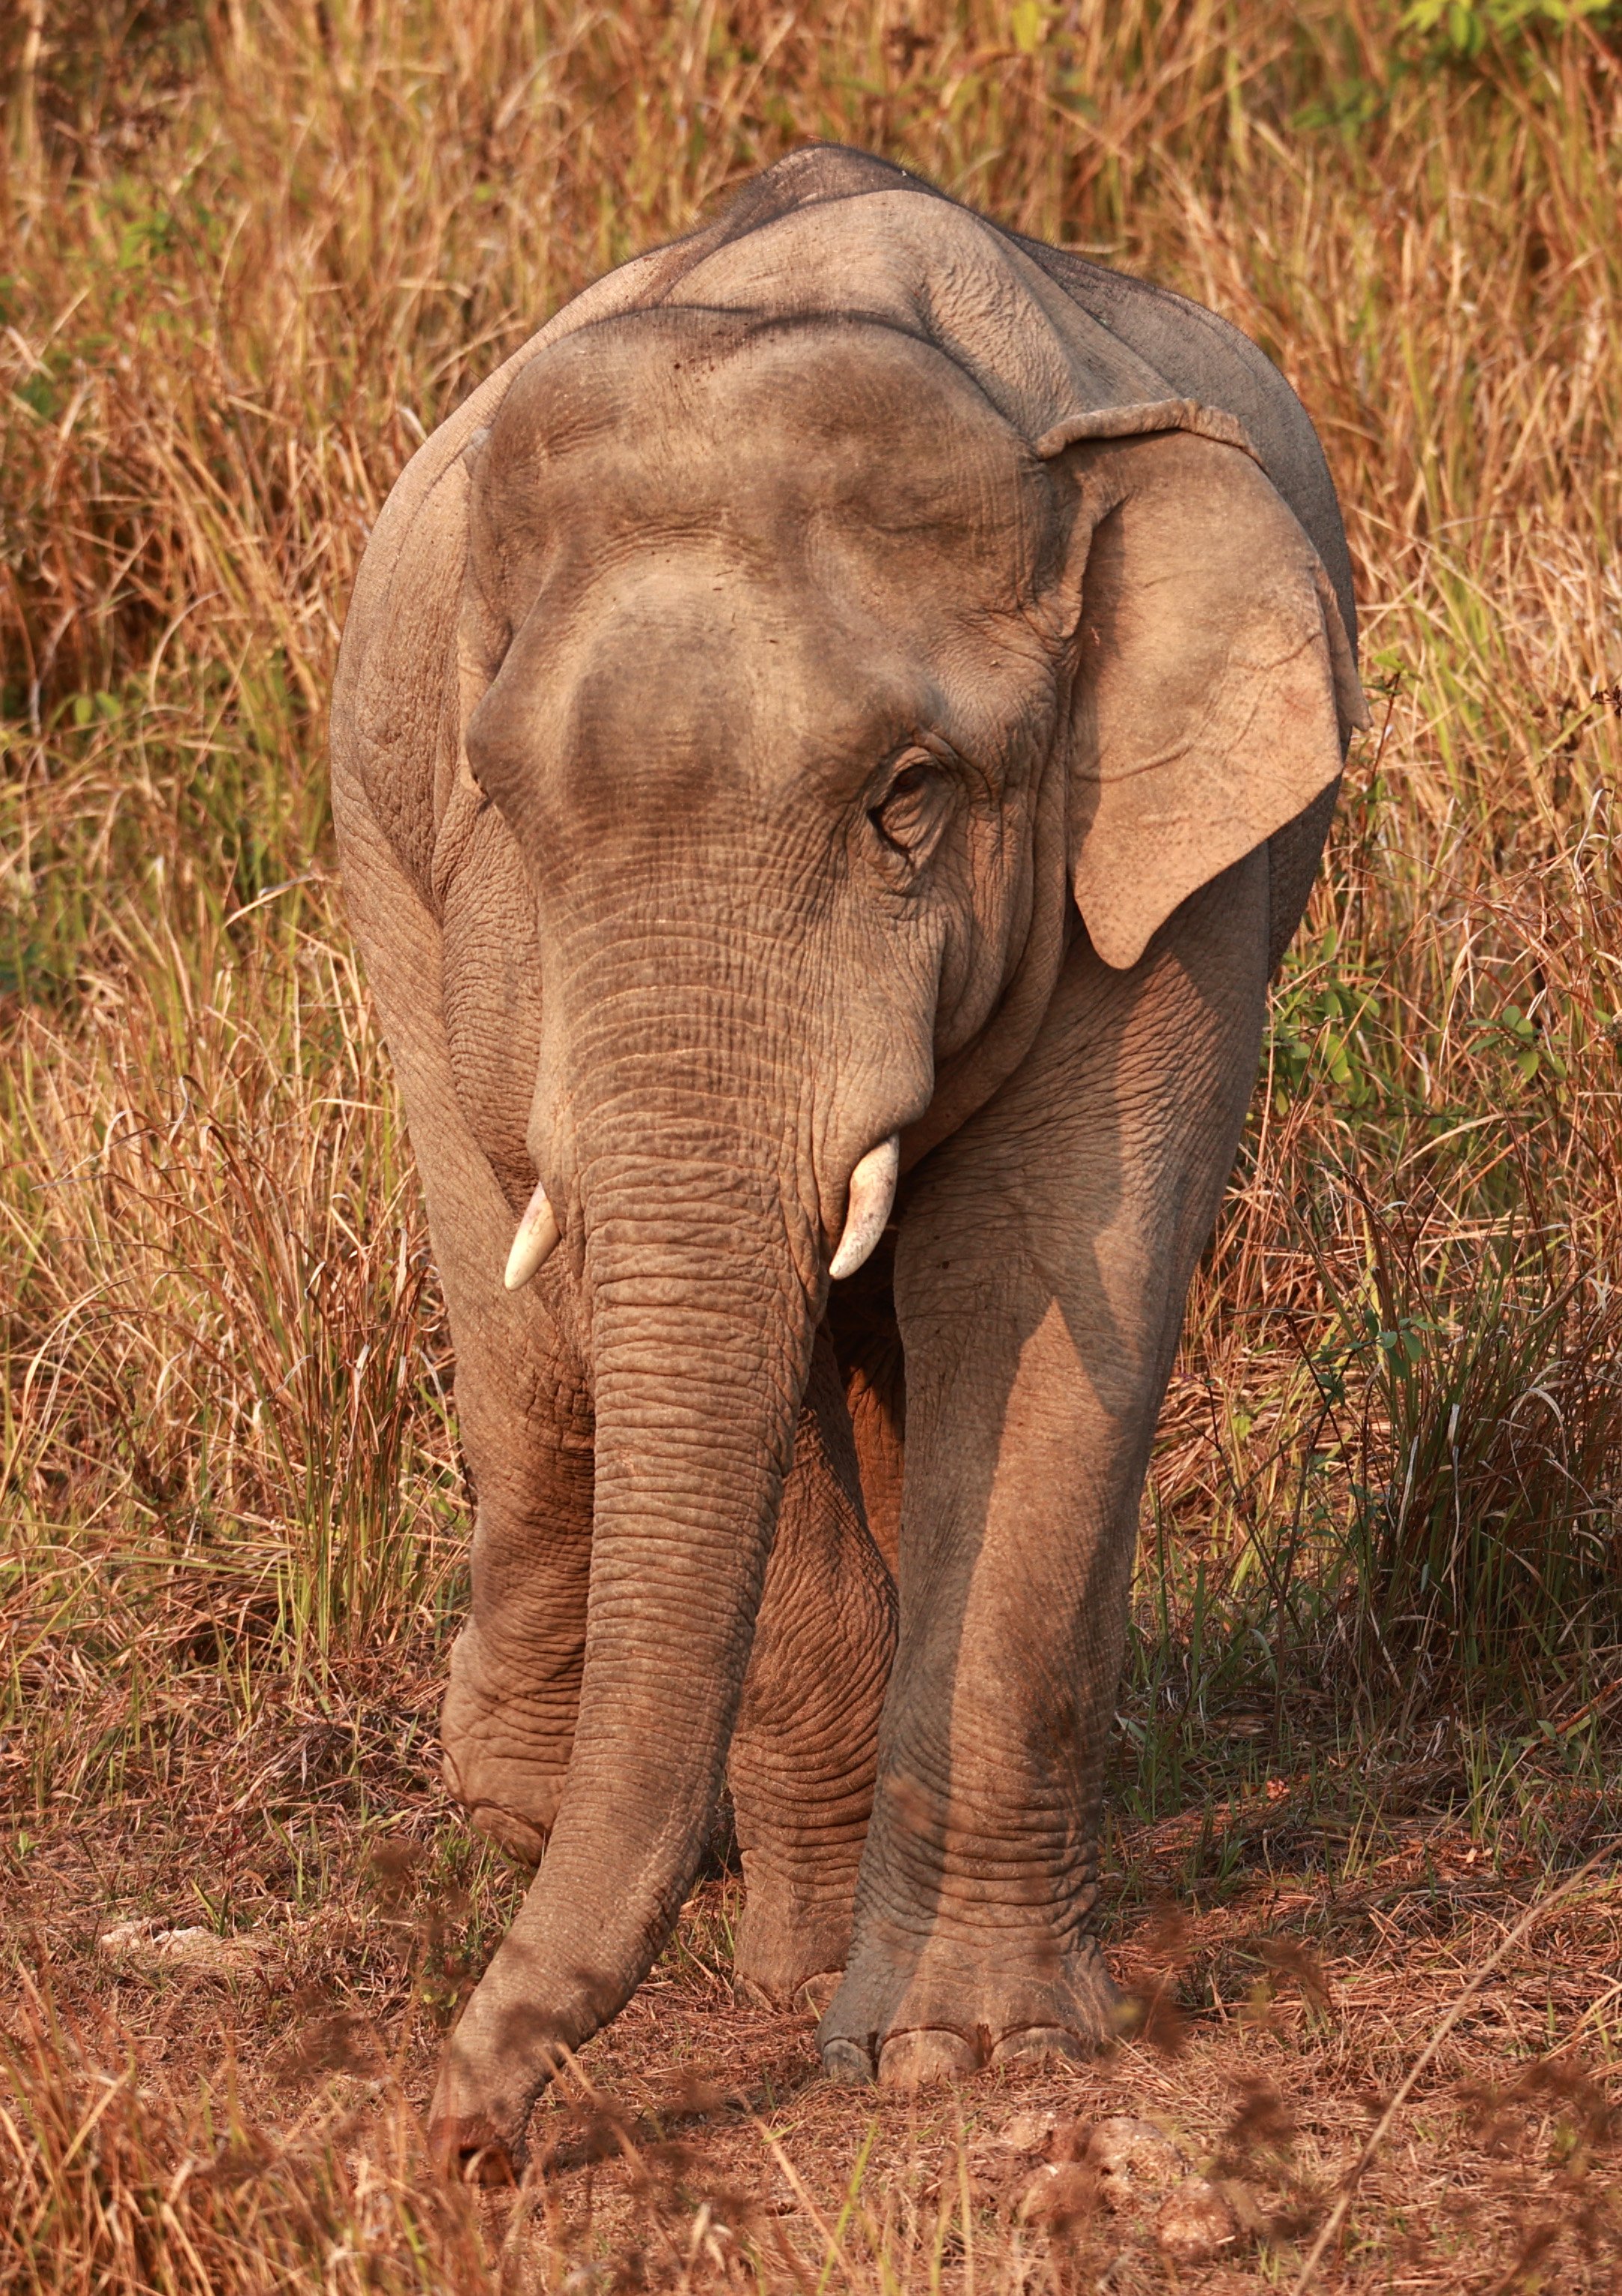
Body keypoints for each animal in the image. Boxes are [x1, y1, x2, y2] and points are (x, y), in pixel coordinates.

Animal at [330, 143, 1366, 2175]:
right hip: (374, 848)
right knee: (529, 1364)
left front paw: (959, 2050)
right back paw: (511, 1806)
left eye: (909, 800)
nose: (463, 2129)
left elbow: (1035, 1280)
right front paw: (803, 1977)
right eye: (522, 809)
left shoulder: (1158, 866)